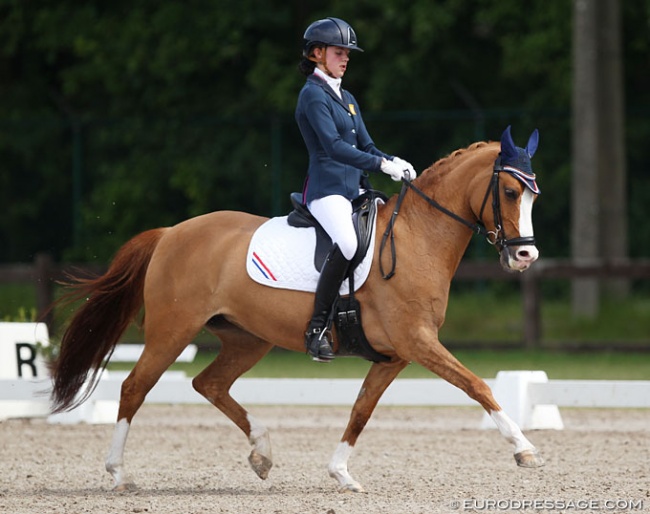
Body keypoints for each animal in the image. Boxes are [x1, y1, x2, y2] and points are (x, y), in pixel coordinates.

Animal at [49, 126, 540, 490]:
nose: (525, 256)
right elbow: (477, 385)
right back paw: (117, 473)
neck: (417, 236)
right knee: (135, 387)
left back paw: (262, 453)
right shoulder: (417, 341)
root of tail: (171, 232)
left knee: (209, 384)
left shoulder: (396, 354)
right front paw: (524, 449)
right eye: (510, 192)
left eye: (534, 195)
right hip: (173, 331)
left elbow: (361, 409)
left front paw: (341, 473)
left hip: (247, 339)